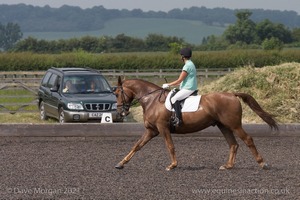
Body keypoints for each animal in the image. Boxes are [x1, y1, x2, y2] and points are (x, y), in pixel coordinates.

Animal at [113, 76, 278, 170]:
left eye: (118, 93)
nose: (121, 111)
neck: (152, 100)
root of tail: (232, 94)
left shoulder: (162, 128)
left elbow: (170, 146)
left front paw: (173, 165)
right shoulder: (151, 130)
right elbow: (137, 146)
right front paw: (121, 163)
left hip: (234, 125)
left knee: (247, 140)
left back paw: (262, 163)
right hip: (223, 126)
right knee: (233, 144)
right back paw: (228, 166)